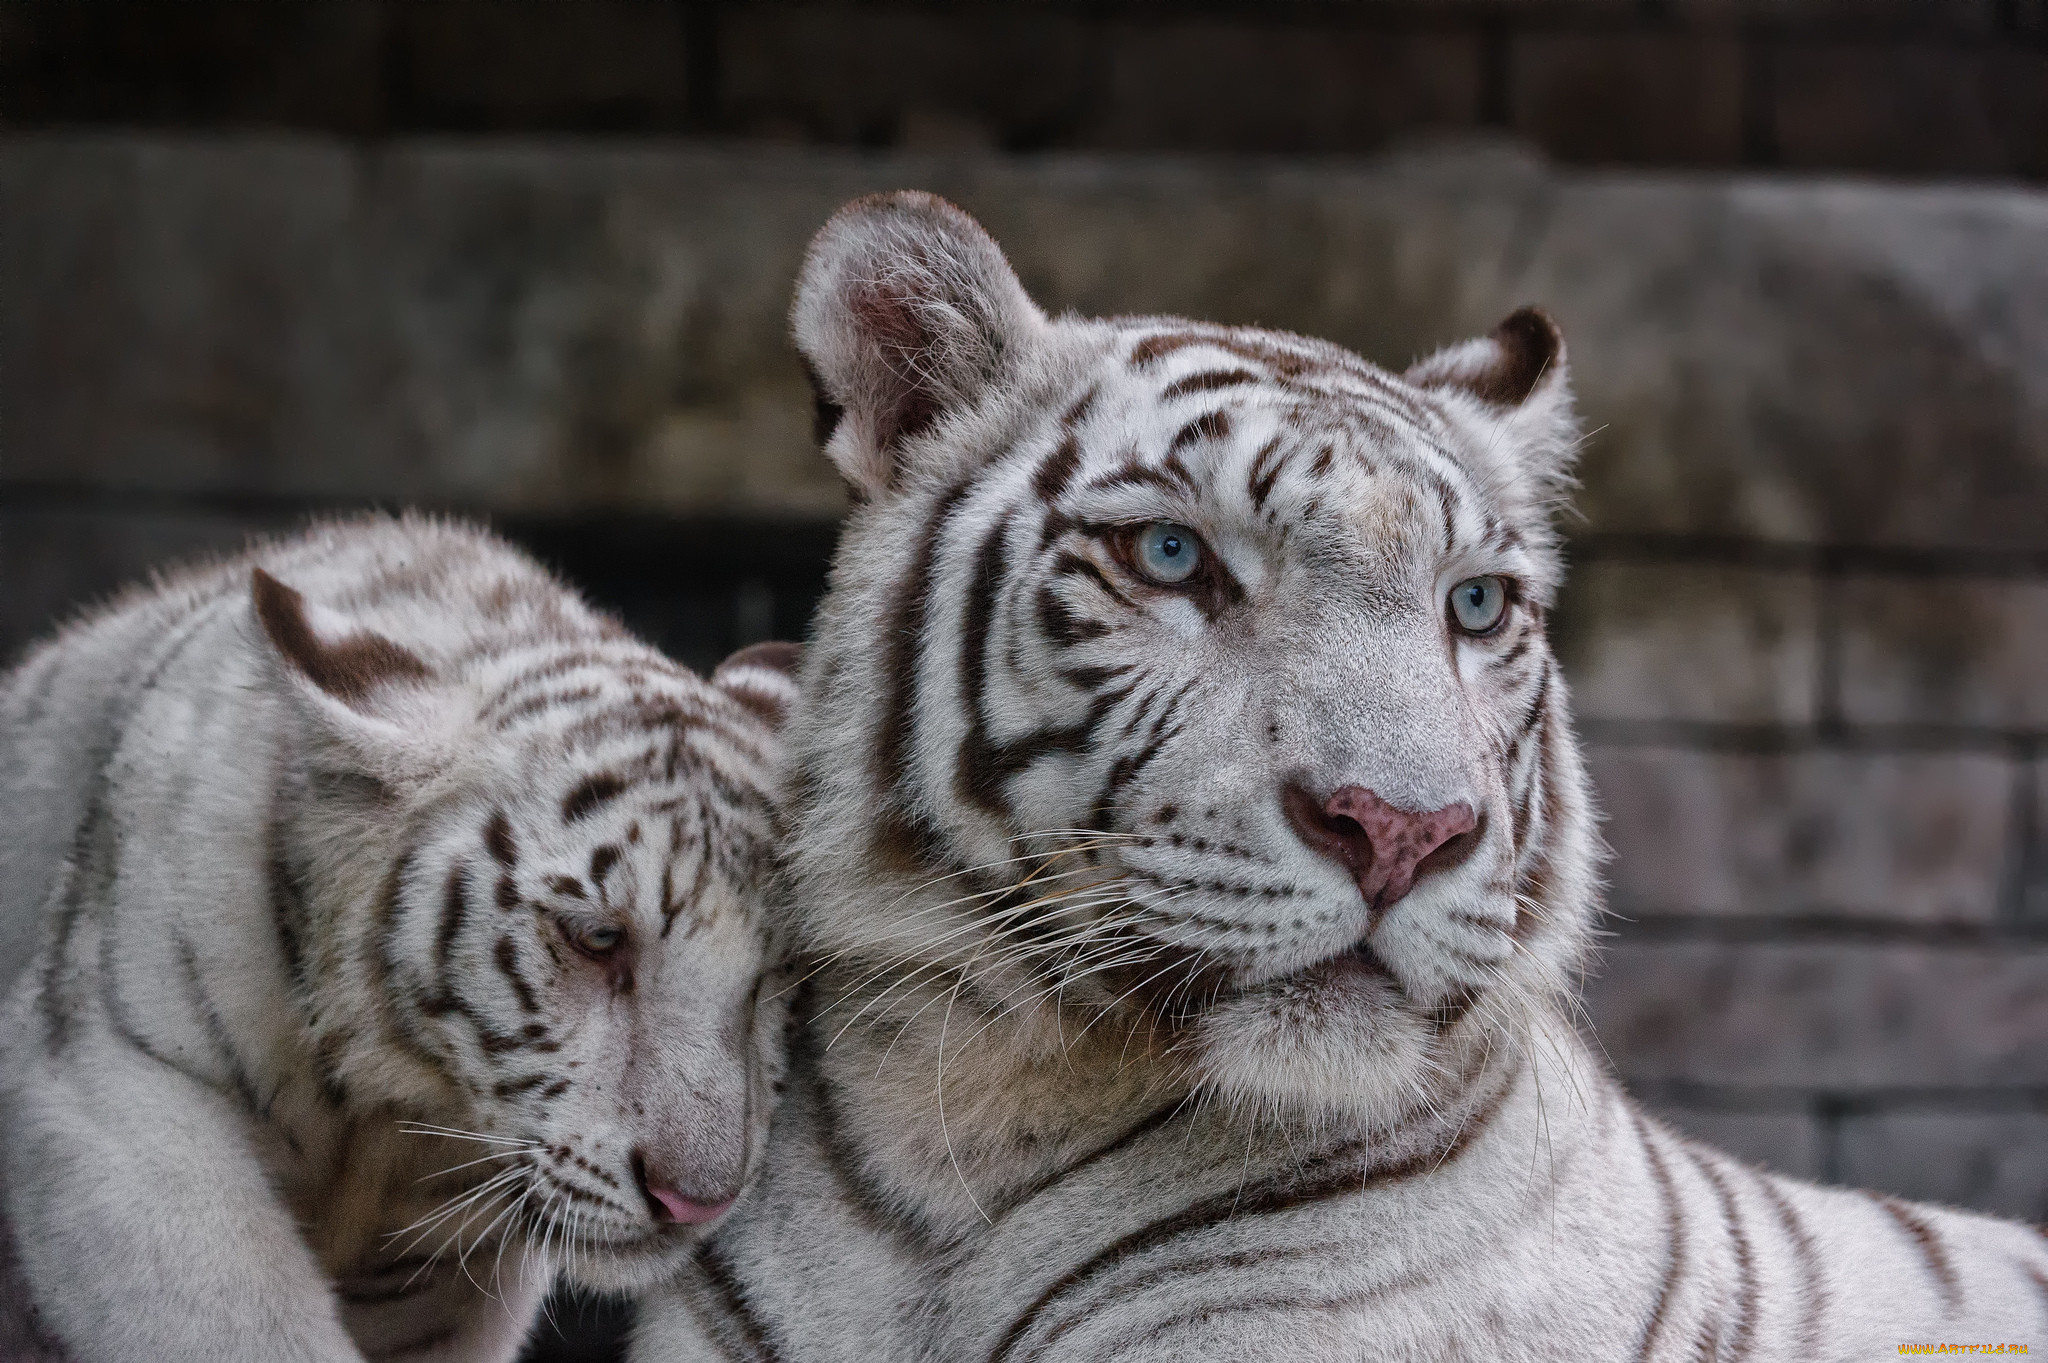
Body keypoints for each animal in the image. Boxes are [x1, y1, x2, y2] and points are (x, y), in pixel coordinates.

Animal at [0, 511, 798, 1358]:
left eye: (776, 973)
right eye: (597, 938)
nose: (696, 1201)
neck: (389, 1101)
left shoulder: (431, 1275)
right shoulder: (115, 1082)